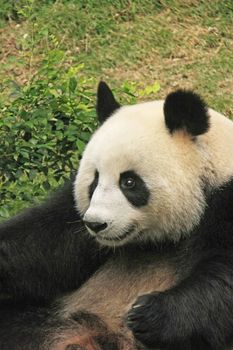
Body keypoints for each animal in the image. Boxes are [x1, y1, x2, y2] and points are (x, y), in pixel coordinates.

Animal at [0, 82, 233, 350]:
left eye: (129, 181)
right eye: (94, 180)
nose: (95, 224)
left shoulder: (225, 200)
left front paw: (147, 315)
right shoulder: (72, 215)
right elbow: (43, 245)